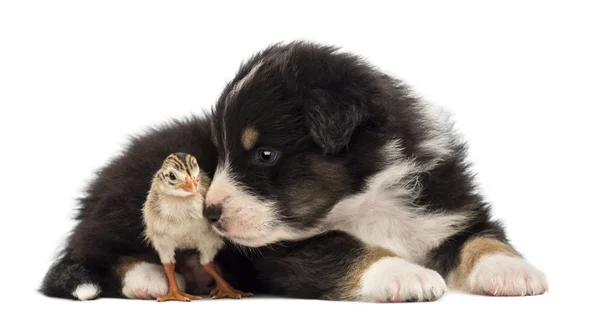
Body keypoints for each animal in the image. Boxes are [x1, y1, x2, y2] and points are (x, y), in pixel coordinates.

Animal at [205, 42, 548, 302]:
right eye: (220, 152)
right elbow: (346, 249)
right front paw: (406, 274)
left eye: (265, 155)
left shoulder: (449, 207)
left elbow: (482, 237)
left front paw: (510, 270)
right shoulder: (283, 254)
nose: (209, 213)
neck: (369, 199)